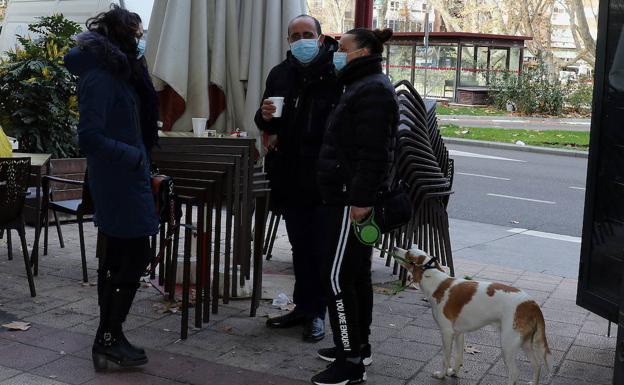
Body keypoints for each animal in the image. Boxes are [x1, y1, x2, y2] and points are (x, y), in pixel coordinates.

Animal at [394, 246, 552, 384]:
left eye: (408, 253)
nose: (395, 247)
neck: (437, 283)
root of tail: (532, 304)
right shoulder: (458, 333)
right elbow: (458, 356)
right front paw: (454, 372)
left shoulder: (446, 333)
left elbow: (445, 358)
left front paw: (441, 375)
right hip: (524, 343)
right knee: (537, 365)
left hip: (507, 345)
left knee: (514, 374)